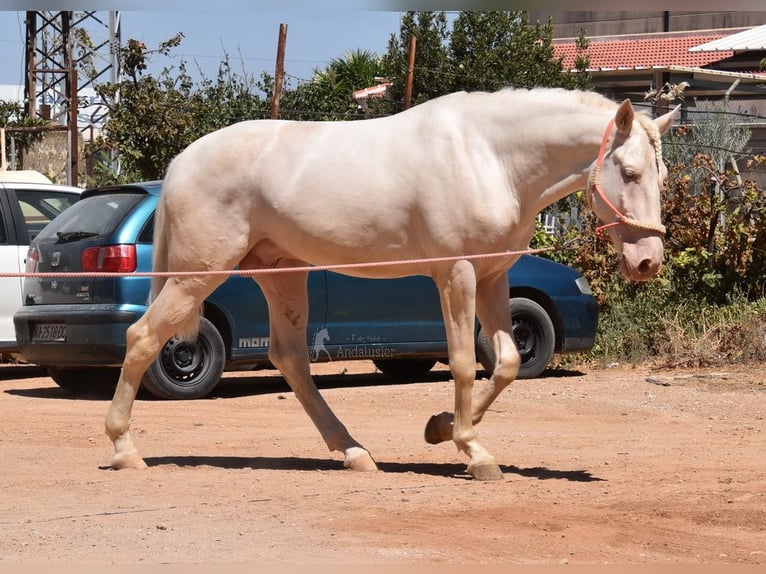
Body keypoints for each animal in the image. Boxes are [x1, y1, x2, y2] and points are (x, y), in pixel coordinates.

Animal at [105, 86, 680, 482]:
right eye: (629, 173)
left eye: (661, 175)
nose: (648, 261)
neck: (490, 157)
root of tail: (184, 160)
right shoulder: (457, 274)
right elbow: (465, 364)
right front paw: (473, 451)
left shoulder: (493, 276)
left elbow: (507, 363)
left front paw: (442, 428)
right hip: (198, 274)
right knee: (142, 338)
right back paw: (124, 449)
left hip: (283, 275)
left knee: (290, 359)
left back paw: (354, 452)